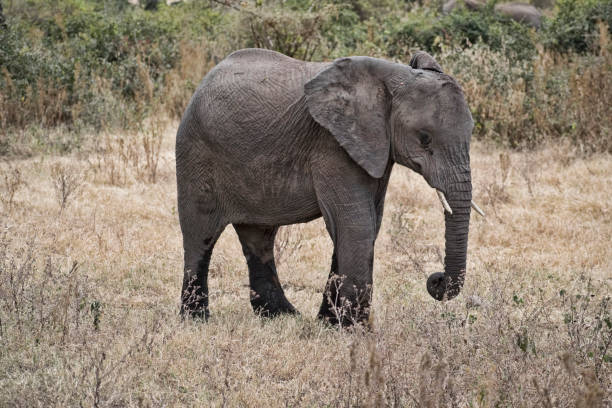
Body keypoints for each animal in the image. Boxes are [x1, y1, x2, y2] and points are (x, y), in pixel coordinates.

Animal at [175, 48, 486, 326]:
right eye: (424, 138)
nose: (435, 279)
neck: (390, 80)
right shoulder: (332, 145)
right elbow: (355, 223)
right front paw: (351, 327)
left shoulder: (374, 148)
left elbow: (368, 223)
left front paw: (329, 322)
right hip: (196, 151)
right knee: (200, 233)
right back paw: (196, 319)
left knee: (259, 236)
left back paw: (282, 316)